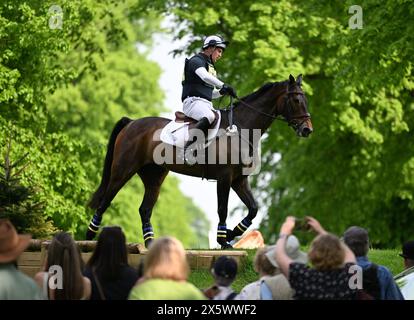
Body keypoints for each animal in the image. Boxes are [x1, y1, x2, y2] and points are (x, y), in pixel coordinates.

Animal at [87, 74, 314, 248]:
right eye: (296, 101)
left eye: (305, 100)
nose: (307, 130)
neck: (241, 128)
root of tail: (132, 122)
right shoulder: (225, 178)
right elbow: (222, 208)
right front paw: (223, 241)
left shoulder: (239, 180)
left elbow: (253, 209)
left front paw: (230, 234)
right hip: (123, 170)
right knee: (106, 200)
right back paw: (89, 237)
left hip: (154, 176)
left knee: (145, 209)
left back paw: (150, 244)